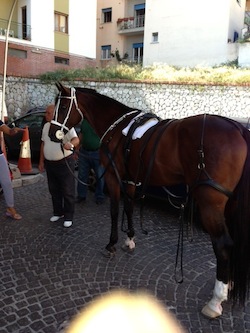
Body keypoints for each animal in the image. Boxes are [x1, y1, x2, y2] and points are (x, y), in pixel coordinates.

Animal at [49, 82, 250, 316]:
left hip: (210, 202)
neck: (117, 127)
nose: (52, 133)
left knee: (223, 243)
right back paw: (229, 284)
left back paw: (216, 299)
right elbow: (128, 208)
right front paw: (129, 239)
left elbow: (114, 211)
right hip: (231, 205)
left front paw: (112, 243)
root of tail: (237, 128)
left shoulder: (112, 177)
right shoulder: (129, 179)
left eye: (63, 107)